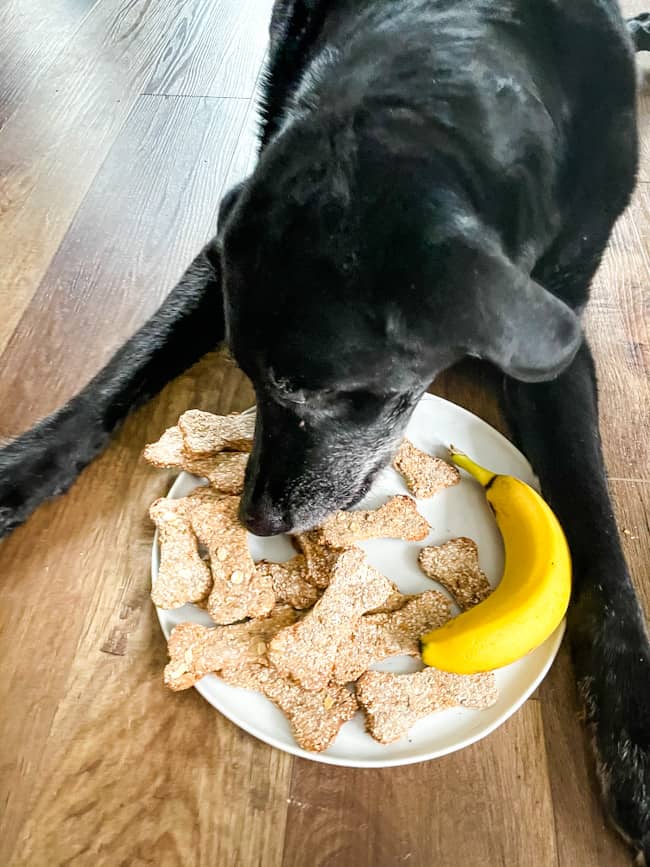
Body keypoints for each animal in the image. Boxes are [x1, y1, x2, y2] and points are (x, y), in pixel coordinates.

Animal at [1, 1, 648, 860]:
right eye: (248, 378)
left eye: (317, 393)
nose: (253, 518)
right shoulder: (218, 258)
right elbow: (127, 362)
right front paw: (27, 465)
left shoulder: (561, 337)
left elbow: (599, 536)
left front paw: (633, 728)